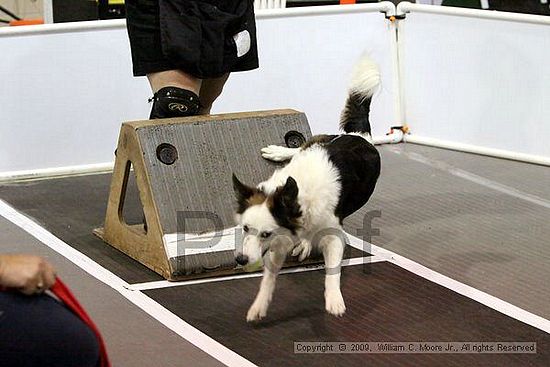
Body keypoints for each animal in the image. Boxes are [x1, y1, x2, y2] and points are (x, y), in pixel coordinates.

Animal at [232, 54, 380, 322]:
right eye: (245, 228)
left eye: (265, 234)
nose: (241, 259)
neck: (296, 193)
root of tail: (360, 136)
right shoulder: (280, 241)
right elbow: (268, 279)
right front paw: (259, 305)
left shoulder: (332, 236)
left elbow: (332, 271)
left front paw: (334, 301)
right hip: (321, 141)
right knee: (302, 146)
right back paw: (279, 151)